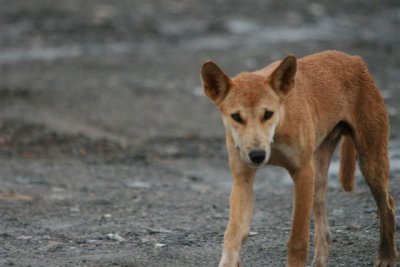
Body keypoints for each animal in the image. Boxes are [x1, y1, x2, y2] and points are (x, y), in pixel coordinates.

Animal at [202, 50, 396, 267]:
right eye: (236, 117)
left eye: (268, 114)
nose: (257, 155)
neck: (277, 130)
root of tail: (353, 58)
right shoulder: (243, 179)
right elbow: (234, 233)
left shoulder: (302, 173)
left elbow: (298, 239)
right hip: (319, 172)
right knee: (323, 227)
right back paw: (320, 261)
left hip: (370, 161)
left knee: (388, 206)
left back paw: (387, 256)